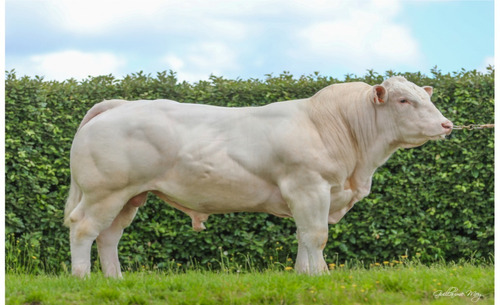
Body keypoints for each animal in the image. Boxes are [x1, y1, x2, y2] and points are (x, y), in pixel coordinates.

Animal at [63, 75, 454, 276]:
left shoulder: (313, 195)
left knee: (109, 236)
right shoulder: (309, 187)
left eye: (426, 98)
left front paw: (304, 276)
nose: (446, 124)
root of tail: (119, 104)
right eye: (404, 101)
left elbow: (302, 236)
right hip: (105, 192)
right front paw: (321, 276)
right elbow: (317, 236)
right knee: (83, 229)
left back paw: (114, 280)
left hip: (130, 196)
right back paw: (83, 279)